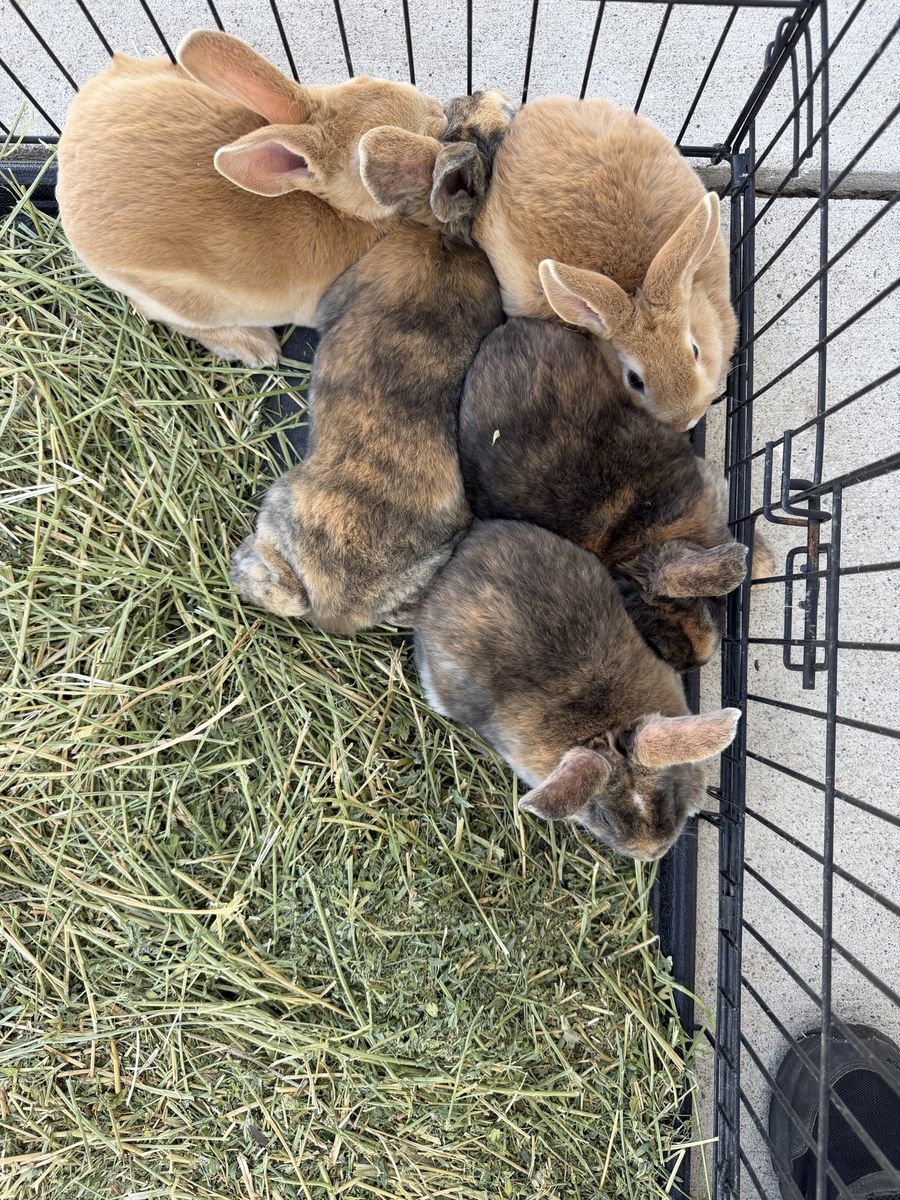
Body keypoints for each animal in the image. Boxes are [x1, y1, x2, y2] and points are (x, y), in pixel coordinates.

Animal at [56, 29, 446, 367]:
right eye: (362, 164)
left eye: (365, 80)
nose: (438, 113)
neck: (340, 211)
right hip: (183, 302)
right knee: (160, 315)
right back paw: (256, 348)